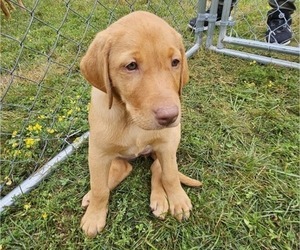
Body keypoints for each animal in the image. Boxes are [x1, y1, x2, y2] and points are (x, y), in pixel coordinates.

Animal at [79, 10, 202, 237]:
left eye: (175, 62)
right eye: (131, 66)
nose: (170, 116)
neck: (131, 119)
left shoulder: (166, 143)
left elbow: (170, 175)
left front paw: (178, 200)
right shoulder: (97, 151)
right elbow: (99, 187)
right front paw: (94, 216)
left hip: (171, 139)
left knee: (157, 168)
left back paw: (160, 200)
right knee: (123, 168)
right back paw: (91, 196)